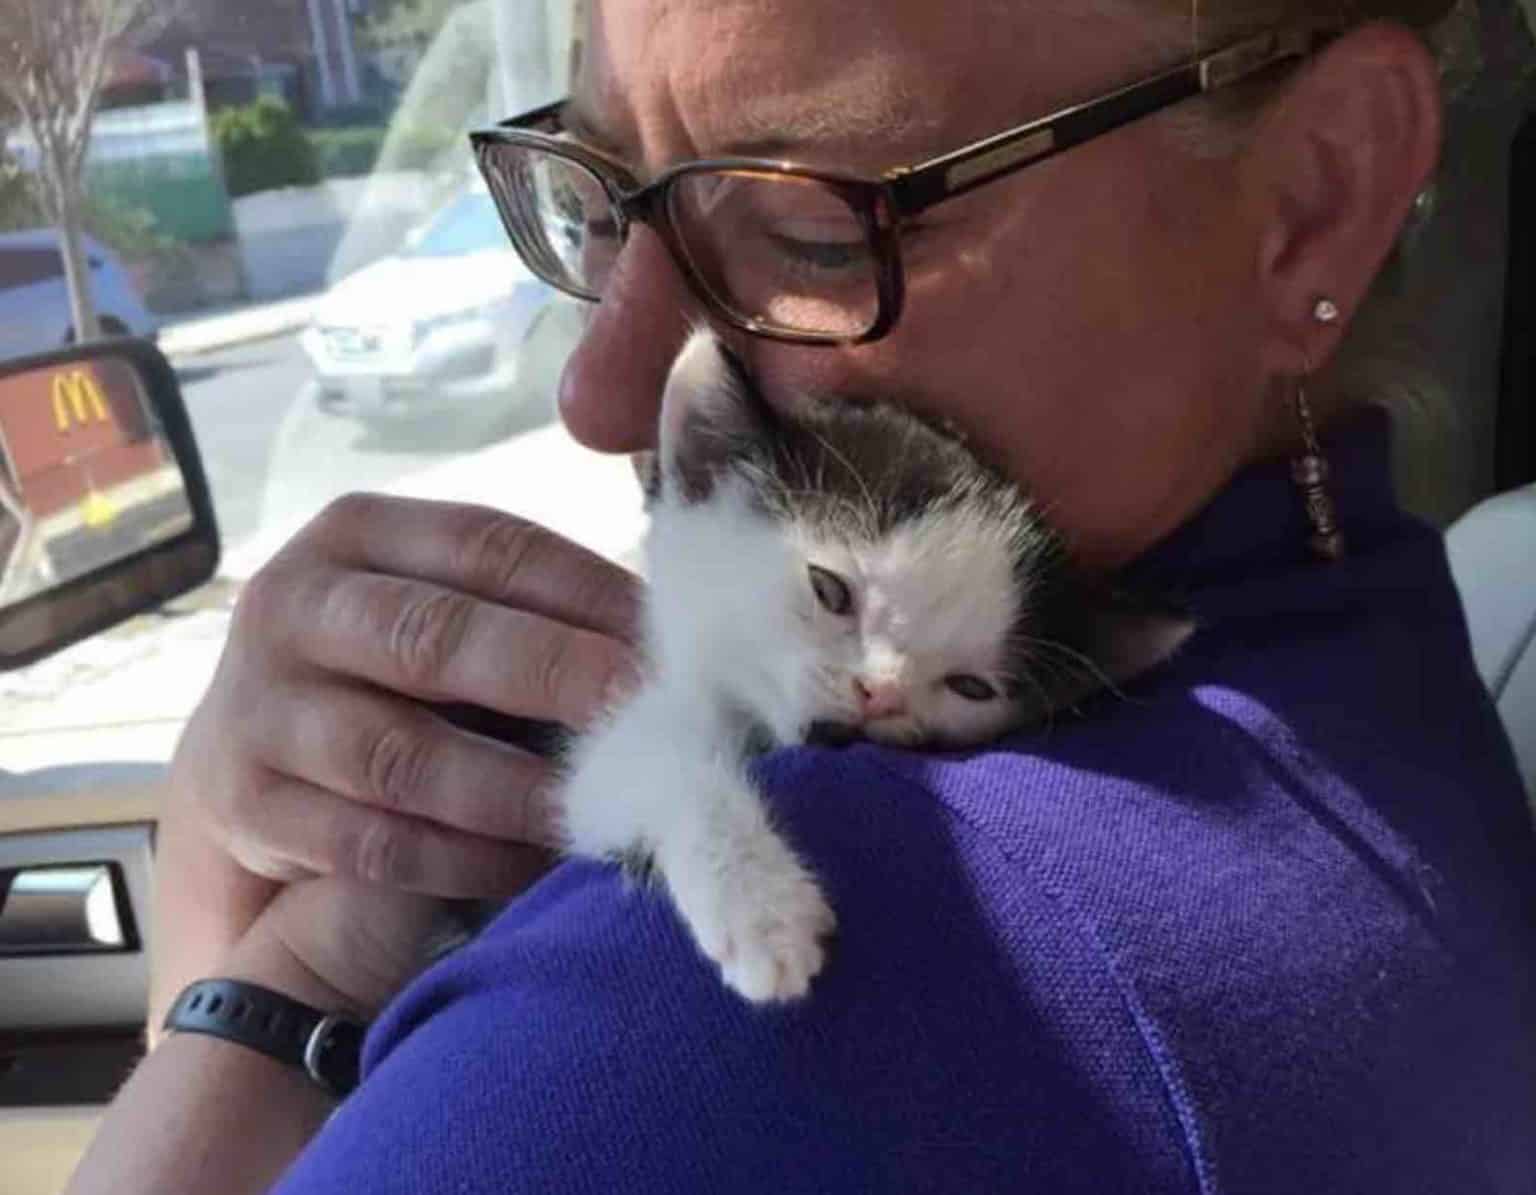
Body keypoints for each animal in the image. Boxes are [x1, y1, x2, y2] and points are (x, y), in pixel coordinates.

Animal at [552, 330, 1185, 1001]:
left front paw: (762, 905)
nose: (879, 694)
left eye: (969, 686)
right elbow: (652, 768)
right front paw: (761, 907)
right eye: (829, 590)